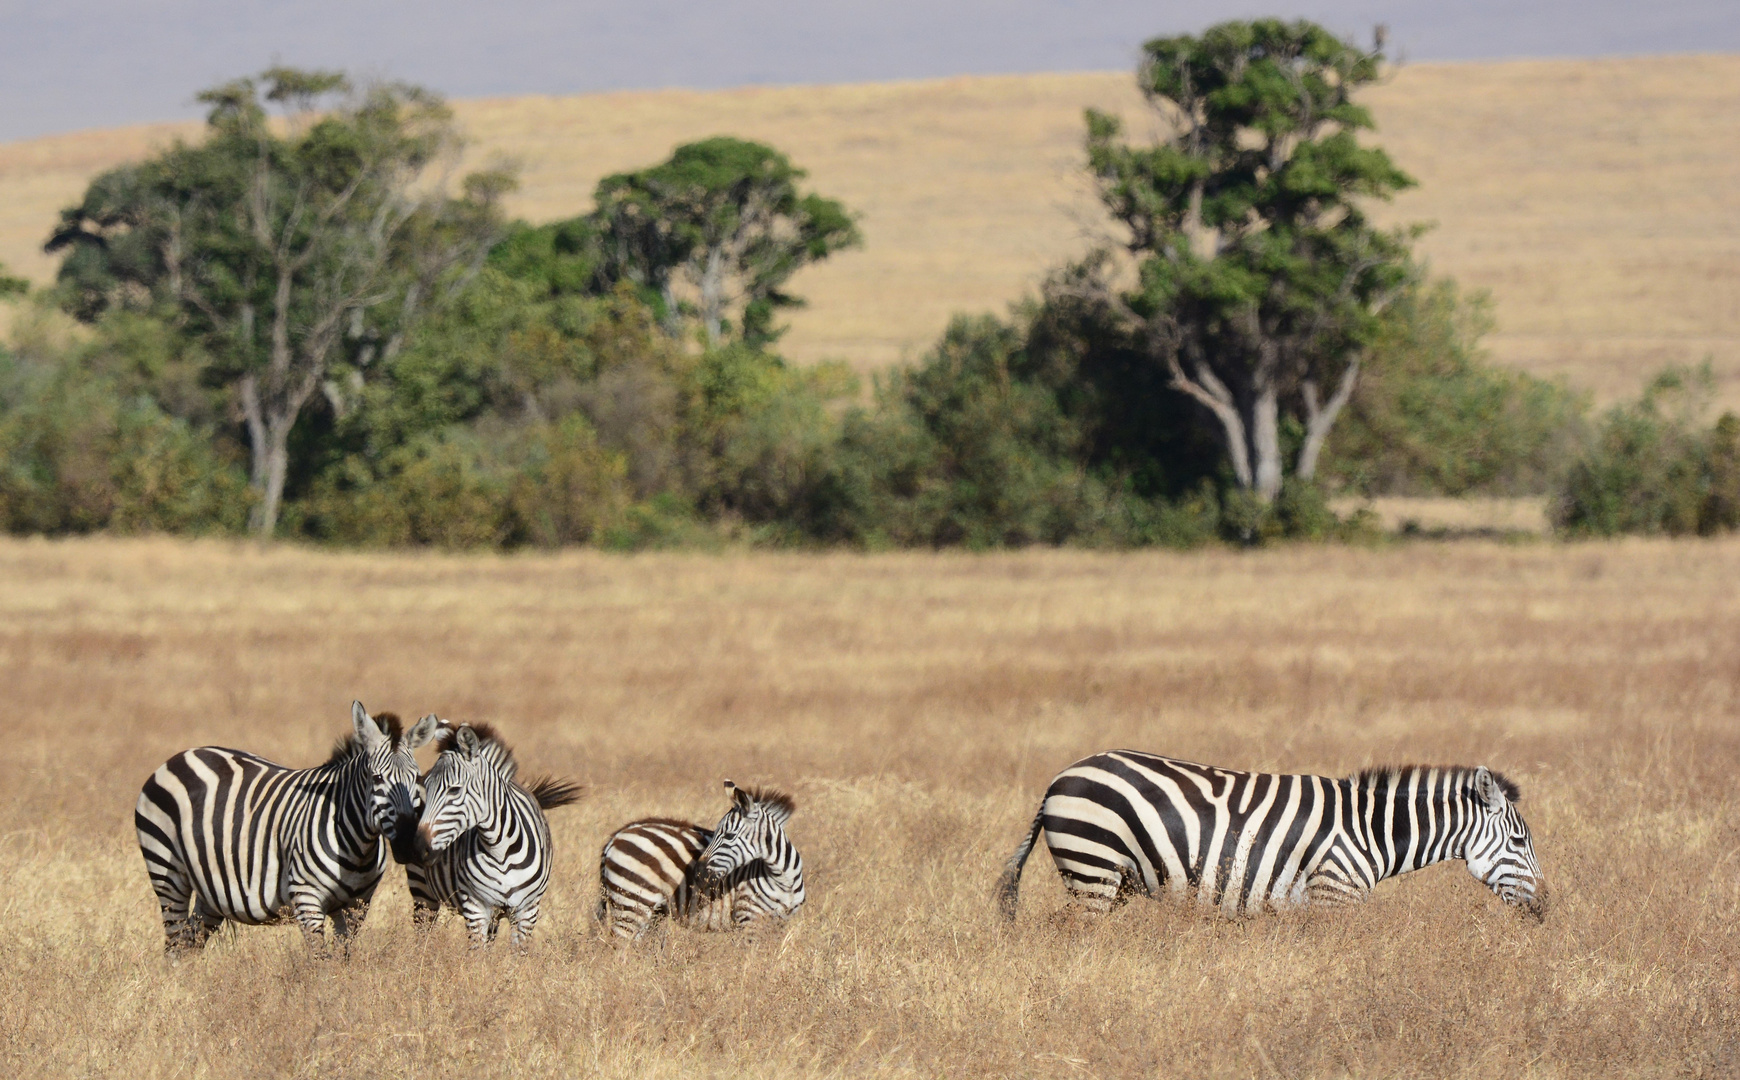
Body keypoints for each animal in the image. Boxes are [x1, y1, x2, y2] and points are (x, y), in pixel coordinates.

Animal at [135, 699, 441, 953]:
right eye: (376, 779)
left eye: (416, 779)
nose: (407, 845)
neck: (357, 846)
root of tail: (182, 755)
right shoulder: (307, 900)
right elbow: (321, 960)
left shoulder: (357, 905)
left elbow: (343, 957)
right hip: (167, 874)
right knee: (174, 943)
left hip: (210, 893)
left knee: (189, 941)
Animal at [403, 723, 581, 946]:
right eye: (426, 789)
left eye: (454, 790)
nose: (418, 848)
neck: (501, 849)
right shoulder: (475, 907)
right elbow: (477, 952)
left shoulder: (527, 911)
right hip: (422, 890)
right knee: (422, 931)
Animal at [595, 779, 803, 939]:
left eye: (729, 836)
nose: (699, 873)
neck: (783, 879)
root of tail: (616, 837)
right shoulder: (748, 918)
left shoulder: (780, 923)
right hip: (631, 902)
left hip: (646, 910)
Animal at [1002, 754, 1545, 925]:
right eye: (1520, 841)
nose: (1546, 909)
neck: (1369, 831)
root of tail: (1057, 781)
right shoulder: (1334, 896)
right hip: (1092, 870)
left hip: (1109, 881)